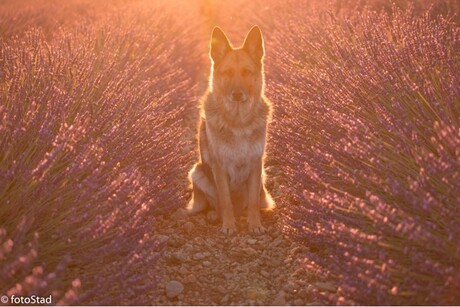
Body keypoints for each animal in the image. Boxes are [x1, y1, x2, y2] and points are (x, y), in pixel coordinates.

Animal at [186, 26, 274, 235]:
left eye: (247, 72)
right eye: (227, 73)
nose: (237, 95)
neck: (238, 122)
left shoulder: (255, 164)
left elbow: (252, 202)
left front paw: (255, 224)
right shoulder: (219, 166)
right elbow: (225, 200)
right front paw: (228, 225)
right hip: (197, 172)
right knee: (214, 203)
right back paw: (214, 215)